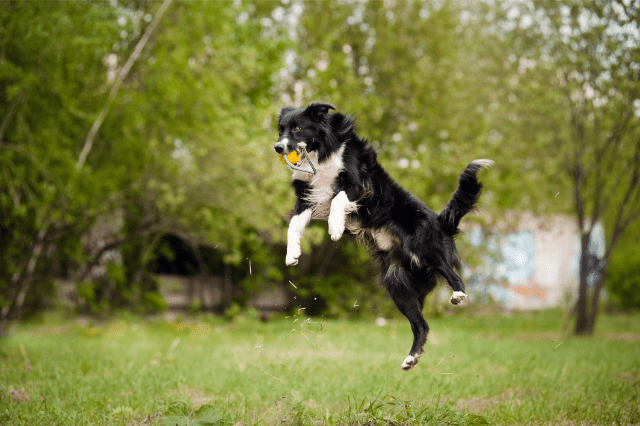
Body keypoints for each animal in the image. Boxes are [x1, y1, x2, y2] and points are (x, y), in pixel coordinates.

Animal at [272, 102, 492, 370]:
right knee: (421, 324)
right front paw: (292, 253)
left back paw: (459, 294)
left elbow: (337, 200)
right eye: (280, 129)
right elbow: (294, 225)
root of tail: (441, 223)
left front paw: (335, 228)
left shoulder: (358, 184)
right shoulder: (307, 195)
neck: (320, 152)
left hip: (424, 247)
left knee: (452, 274)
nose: (278, 147)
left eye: (297, 128)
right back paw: (411, 358)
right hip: (397, 285)